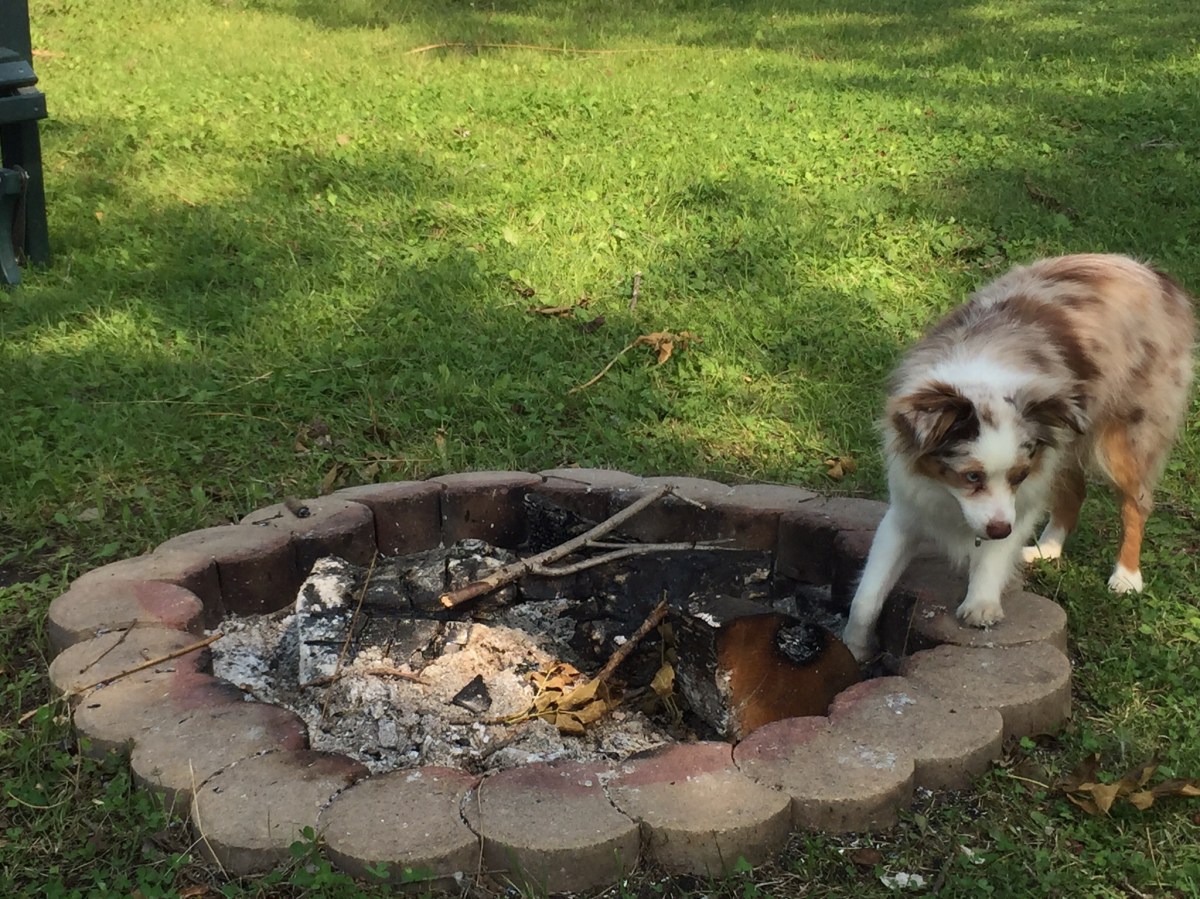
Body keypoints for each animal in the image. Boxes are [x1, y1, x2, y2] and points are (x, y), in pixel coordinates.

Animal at [842, 254, 1195, 662]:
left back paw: (1126, 575)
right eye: (971, 476)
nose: (999, 530)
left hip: (1123, 437)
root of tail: (1150, 271)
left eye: (1017, 476)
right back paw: (1048, 548)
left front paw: (981, 603)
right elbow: (866, 596)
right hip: (1066, 439)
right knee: (1074, 490)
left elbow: (997, 552)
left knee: (1135, 502)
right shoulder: (907, 507)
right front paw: (854, 647)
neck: (981, 375)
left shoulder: (1022, 495)